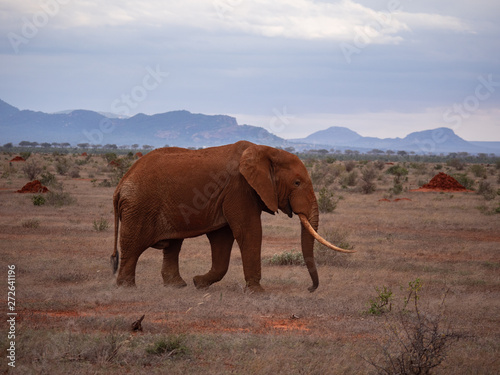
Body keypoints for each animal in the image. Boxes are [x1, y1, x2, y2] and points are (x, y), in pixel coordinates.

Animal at [111, 141, 354, 294]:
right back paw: (126, 288)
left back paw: (178, 286)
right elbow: (249, 232)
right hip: (139, 206)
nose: (309, 289)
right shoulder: (239, 189)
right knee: (133, 246)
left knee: (172, 245)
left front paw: (199, 283)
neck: (264, 151)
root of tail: (121, 183)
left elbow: (222, 239)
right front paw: (258, 293)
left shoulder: (228, 194)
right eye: (297, 183)